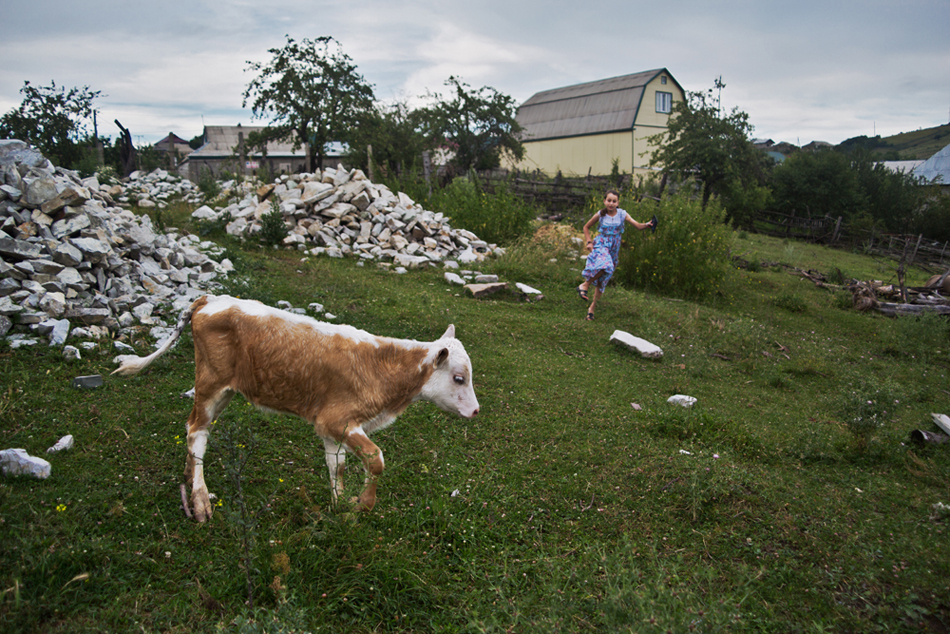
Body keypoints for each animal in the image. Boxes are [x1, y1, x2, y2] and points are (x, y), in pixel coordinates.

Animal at [112, 294, 480, 520]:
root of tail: (212, 299)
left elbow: (337, 466)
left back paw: (190, 479)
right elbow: (376, 460)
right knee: (197, 431)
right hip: (210, 382)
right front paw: (363, 504)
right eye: (459, 378)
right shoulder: (337, 420)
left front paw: (338, 505)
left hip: (225, 389)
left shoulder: (334, 427)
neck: (384, 368)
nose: (476, 411)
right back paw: (200, 499)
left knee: (195, 428)